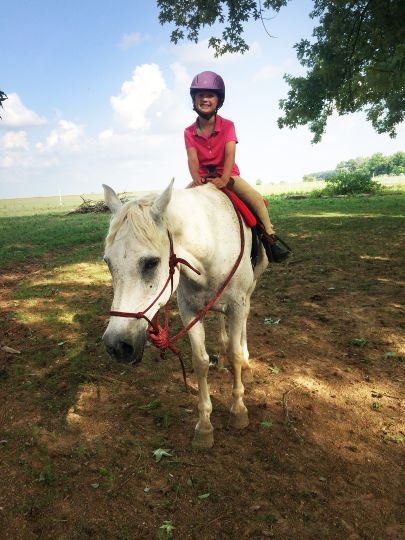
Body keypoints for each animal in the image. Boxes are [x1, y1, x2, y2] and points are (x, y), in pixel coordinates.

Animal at [102, 181, 266, 448]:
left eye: (151, 263)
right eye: (108, 262)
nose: (117, 345)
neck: (211, 244)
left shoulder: (238, 305)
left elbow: (236, 353)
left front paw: (239, 410)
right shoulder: (189, 311)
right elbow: (200, 362)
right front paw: (204, 426)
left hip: (248, 294)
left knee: (241, 331)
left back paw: (245, 363)